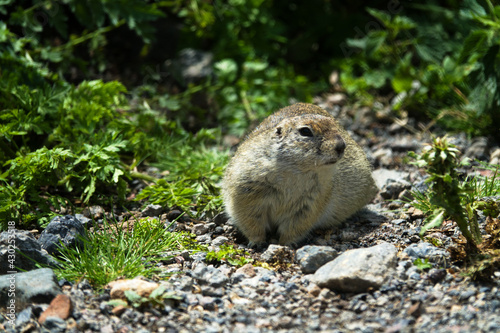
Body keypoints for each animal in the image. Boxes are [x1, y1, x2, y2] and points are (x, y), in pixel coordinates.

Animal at [221, 102, 376, 245]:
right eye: (305, 131)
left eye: (335, 125)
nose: (341, 146)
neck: (295, 171)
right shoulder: (246, 192)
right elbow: (250, 221)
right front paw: (257, 242)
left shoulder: (312, 202)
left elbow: (295, 226)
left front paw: (285, 244)